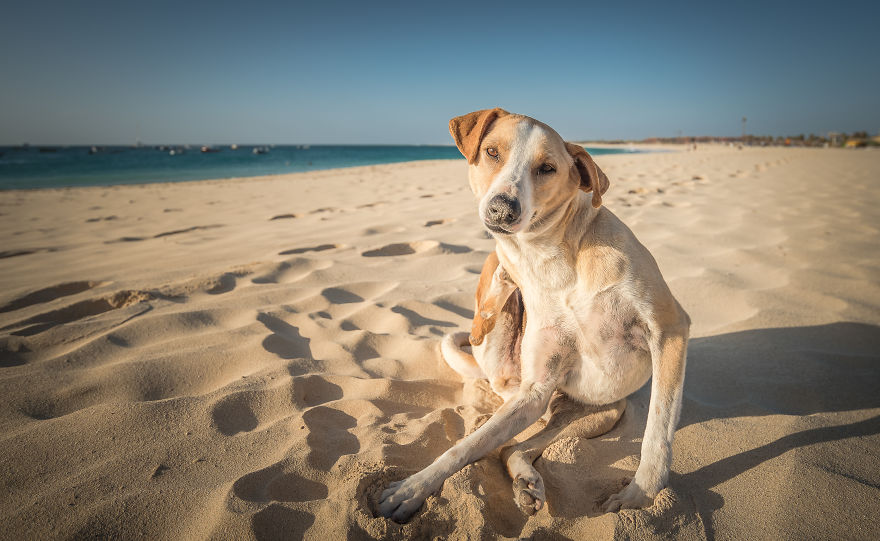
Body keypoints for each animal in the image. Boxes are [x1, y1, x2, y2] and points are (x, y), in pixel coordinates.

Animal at [378, 108, 688, 520]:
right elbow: (464, 447)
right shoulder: (538, 387)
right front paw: (410, 488)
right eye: (492, 152)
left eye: (547, 168)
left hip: (600, 412)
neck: (550, 259)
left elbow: (658, 427)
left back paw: (527, 480)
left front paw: (641, 495)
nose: (502, 209)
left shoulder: (669, 330)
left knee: (517, 445)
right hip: (513, 363)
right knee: (505, 433)